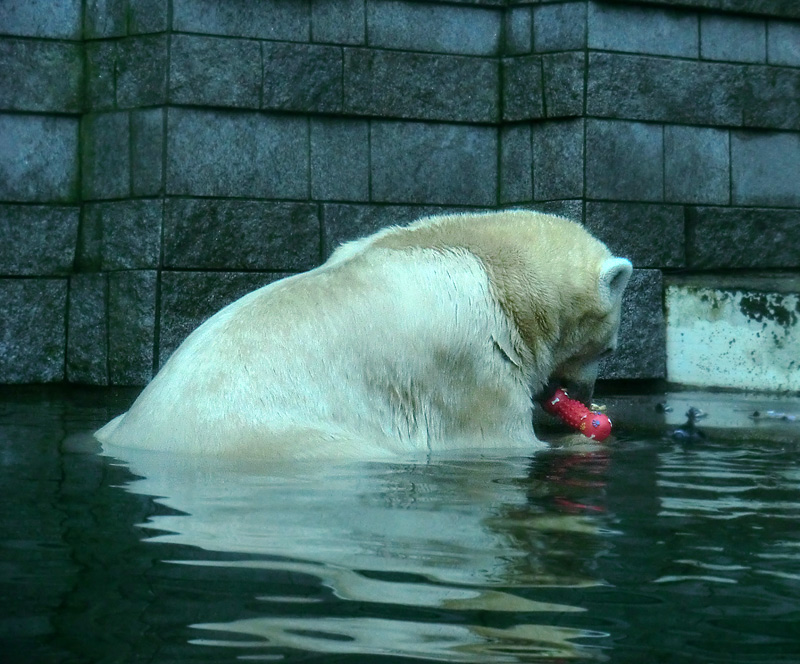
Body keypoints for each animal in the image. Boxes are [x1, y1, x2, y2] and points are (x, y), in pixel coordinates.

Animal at [95, 210, 632, 460]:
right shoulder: (472, 363)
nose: (583, 393)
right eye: (607, 348)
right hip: (280, 436)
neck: (495, 267)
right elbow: (500, 438)